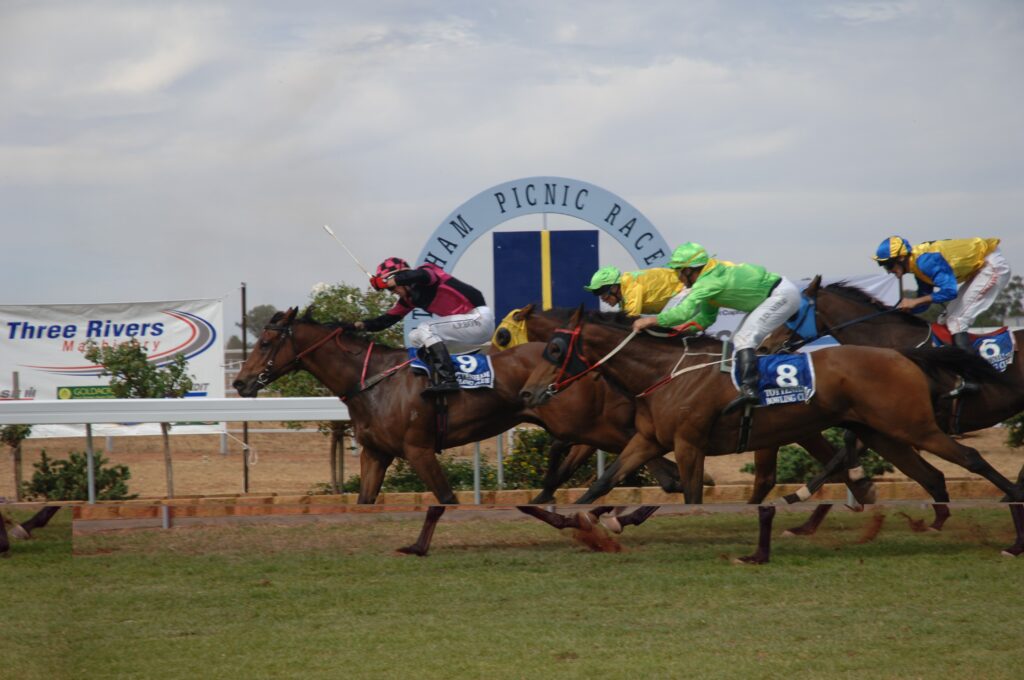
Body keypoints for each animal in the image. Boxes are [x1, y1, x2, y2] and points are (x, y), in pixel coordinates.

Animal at [520, 311, 1024, 561]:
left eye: (555, 349)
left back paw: (1012, 527)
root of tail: (903, 354)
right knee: (932, 476)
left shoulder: (688, 443)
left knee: (970, 459)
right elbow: (601, 485)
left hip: (911, 425)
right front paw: (582, 522)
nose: (527, 392)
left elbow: (688, 495)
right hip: (885, 433)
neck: (664, 373)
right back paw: (930, 521)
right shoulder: (648, 441)